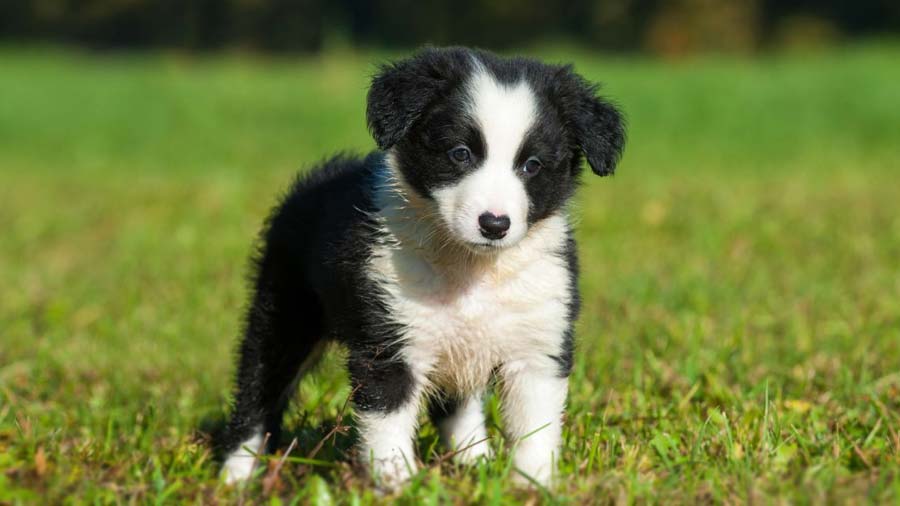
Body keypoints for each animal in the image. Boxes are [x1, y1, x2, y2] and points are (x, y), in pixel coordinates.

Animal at [219, 48, 624, 490]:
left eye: (532, 165)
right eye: (460, 153)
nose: (494, 224)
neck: (472, 267)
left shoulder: (538, 339)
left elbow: (535, 425)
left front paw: (532, 484)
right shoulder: (389, 340)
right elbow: (386, 417)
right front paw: (398, 483)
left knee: (458, 407)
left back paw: (473, 462)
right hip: (285, 311)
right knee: (259, 389)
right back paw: (235, 475)